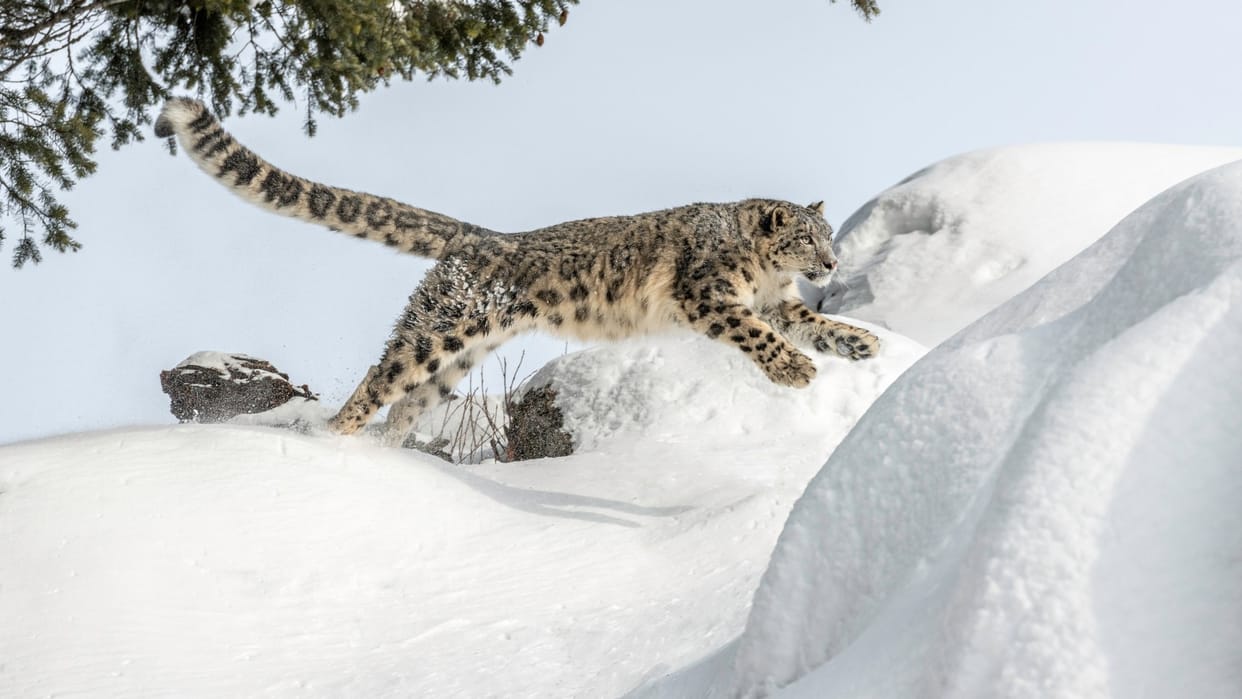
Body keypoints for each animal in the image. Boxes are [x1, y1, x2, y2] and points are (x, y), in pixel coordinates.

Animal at [154, 97, 880, 447]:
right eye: (807, 238)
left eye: (827, 239)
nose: (830, 261)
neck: (759, 274)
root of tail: (481, 238)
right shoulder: (710, 294)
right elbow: (755, 333)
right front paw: (796, 369)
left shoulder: (779, 301)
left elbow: (808, 321)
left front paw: (859, 343)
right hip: (434, 333)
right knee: (379, 378)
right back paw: (333, 437)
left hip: (457, 358)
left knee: (410, 401)